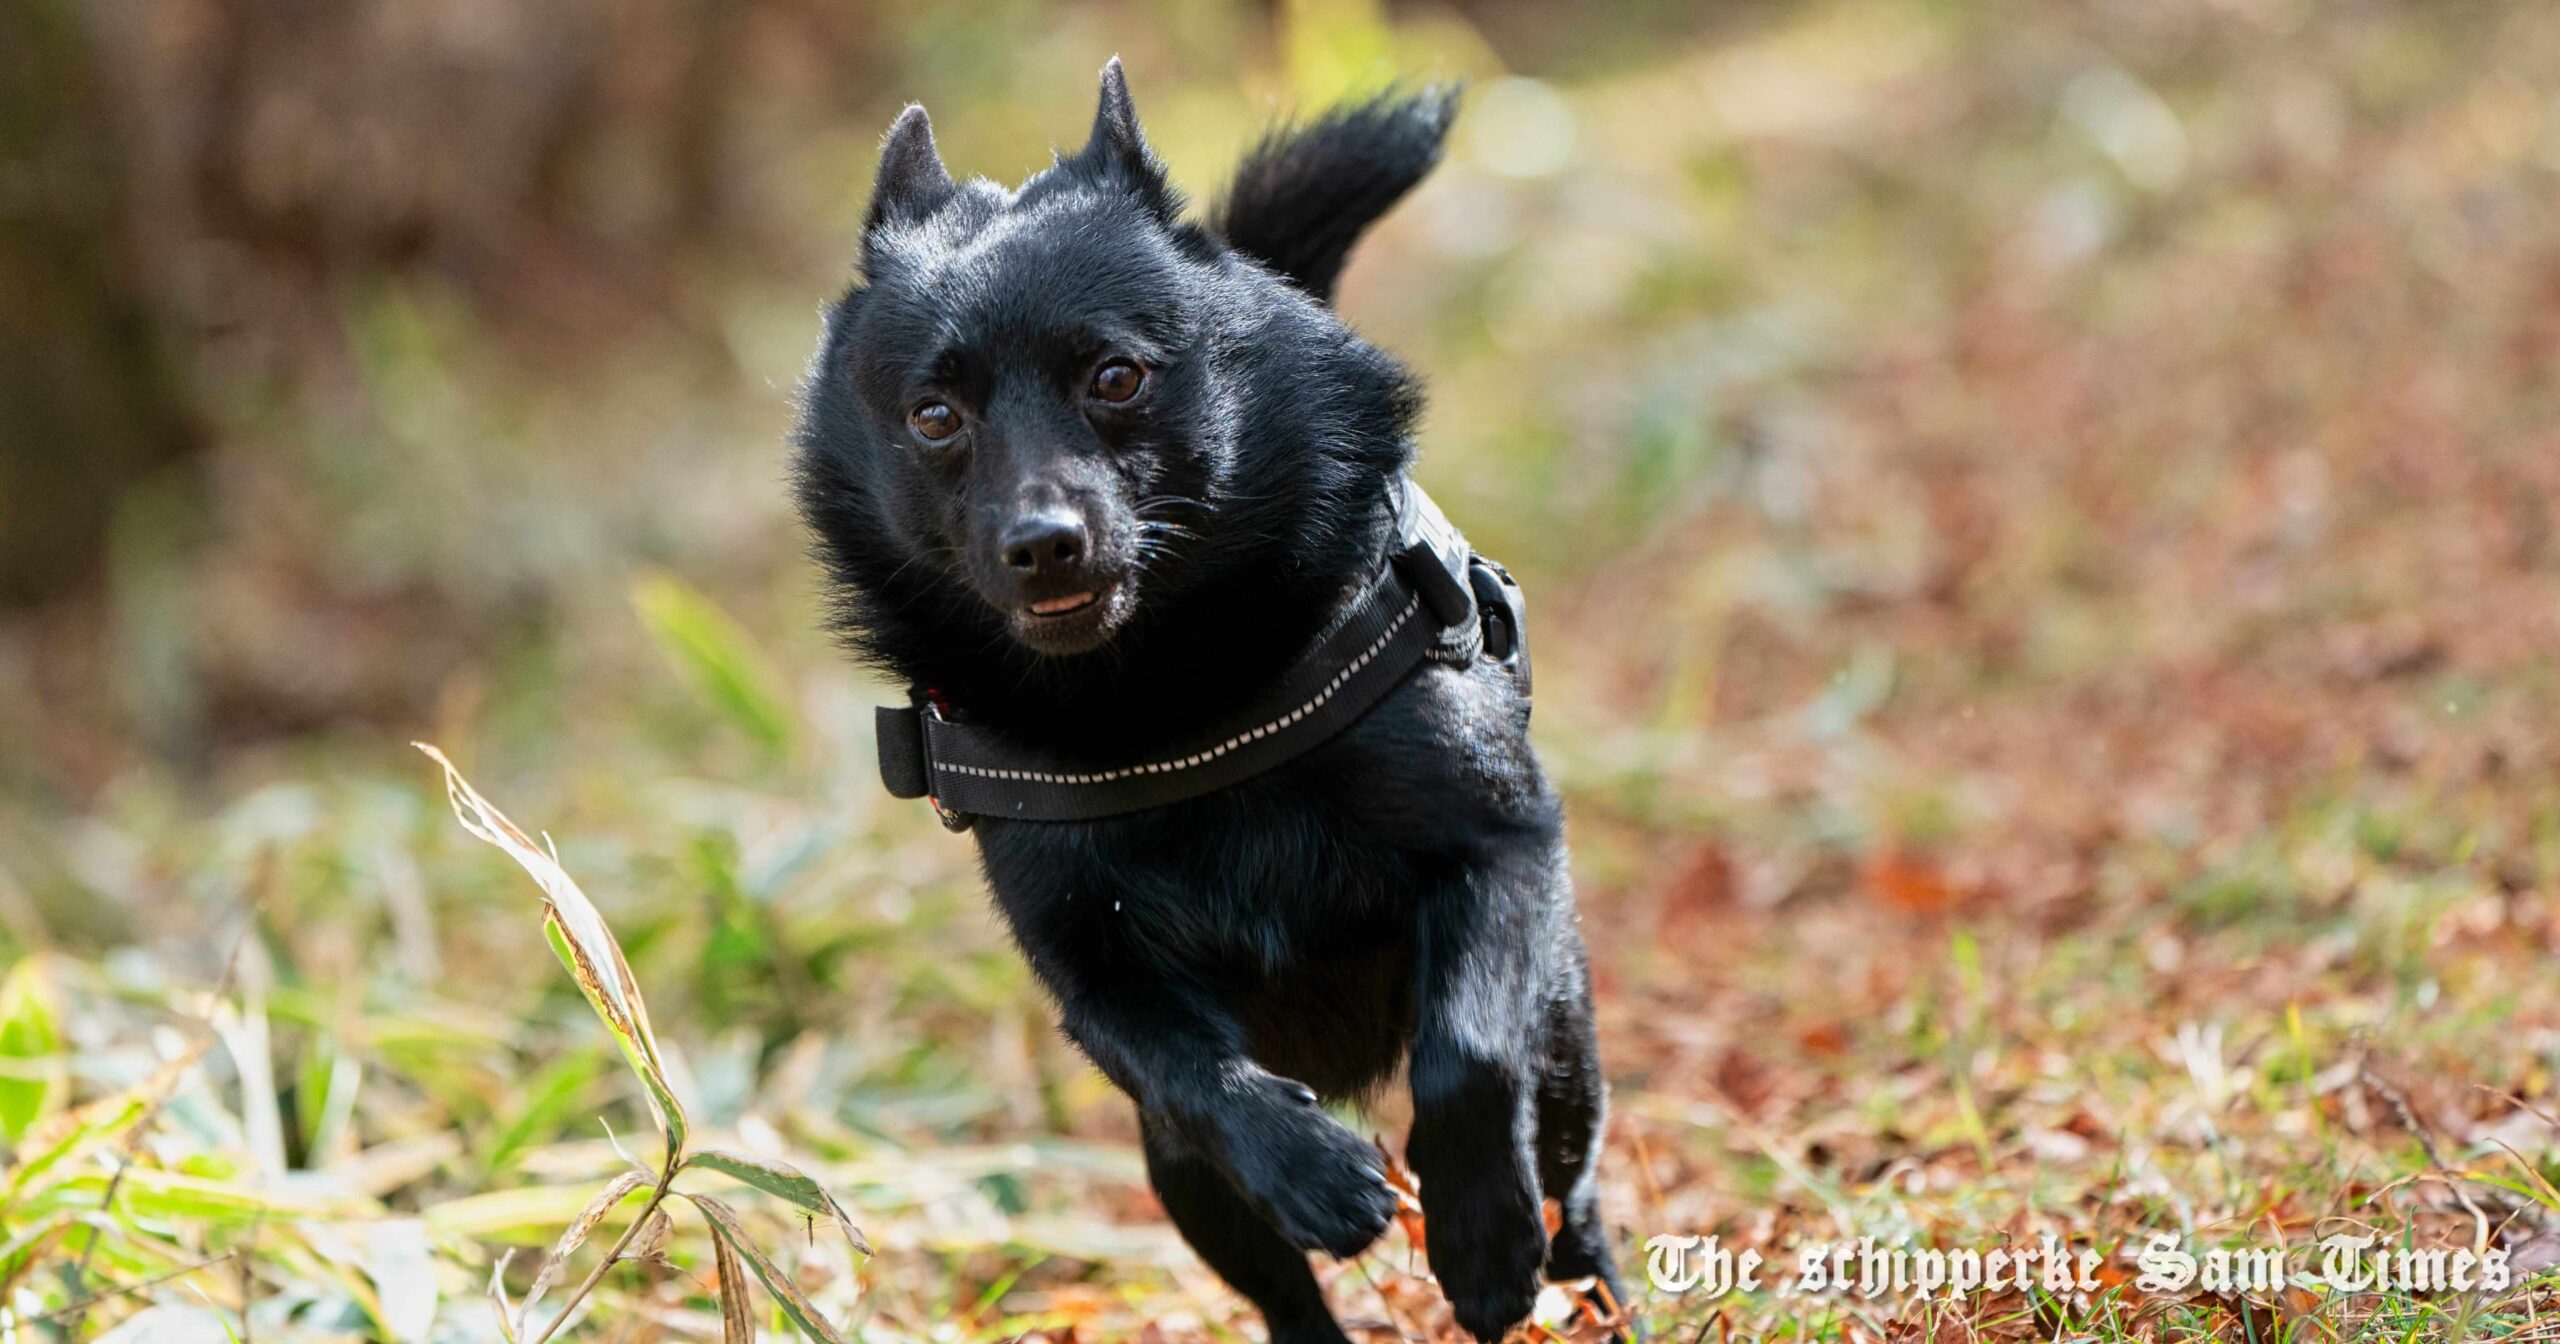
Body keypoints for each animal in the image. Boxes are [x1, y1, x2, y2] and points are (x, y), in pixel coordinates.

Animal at [793, 62, 1617, 1341]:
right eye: (935, 417)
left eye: (1115, 377)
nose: (1042, 543)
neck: (1169, 703)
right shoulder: (1096, 974)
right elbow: (1197, 1073)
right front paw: (1314, 1170)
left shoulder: (1495, 851)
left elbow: (1467, 1052)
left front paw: (1480, 1234)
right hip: (1181, 1180)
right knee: (1282, 1293)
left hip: (1568, 1055)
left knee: (1572, 1182)